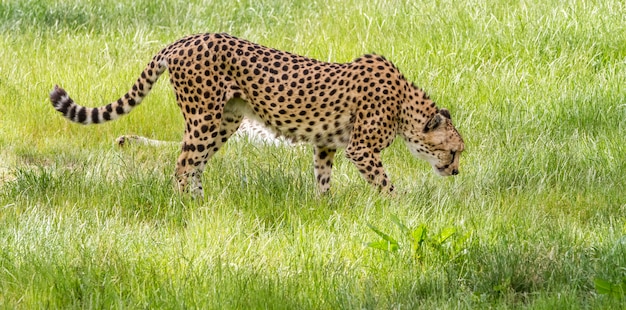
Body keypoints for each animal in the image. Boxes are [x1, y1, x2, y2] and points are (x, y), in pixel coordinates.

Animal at [51, 32, 464, 197]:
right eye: (454, 151)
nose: (456, 172)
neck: (405, 106)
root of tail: (185, 39)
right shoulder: (360, 149)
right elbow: (385, 184)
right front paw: (400, 207)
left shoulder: (326, 144)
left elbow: (322, 179)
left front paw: (324, 208)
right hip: (204, 118)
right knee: (183, 164)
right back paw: (183, 207)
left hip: (225, 121)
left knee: (195, 164)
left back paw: (200, 203)